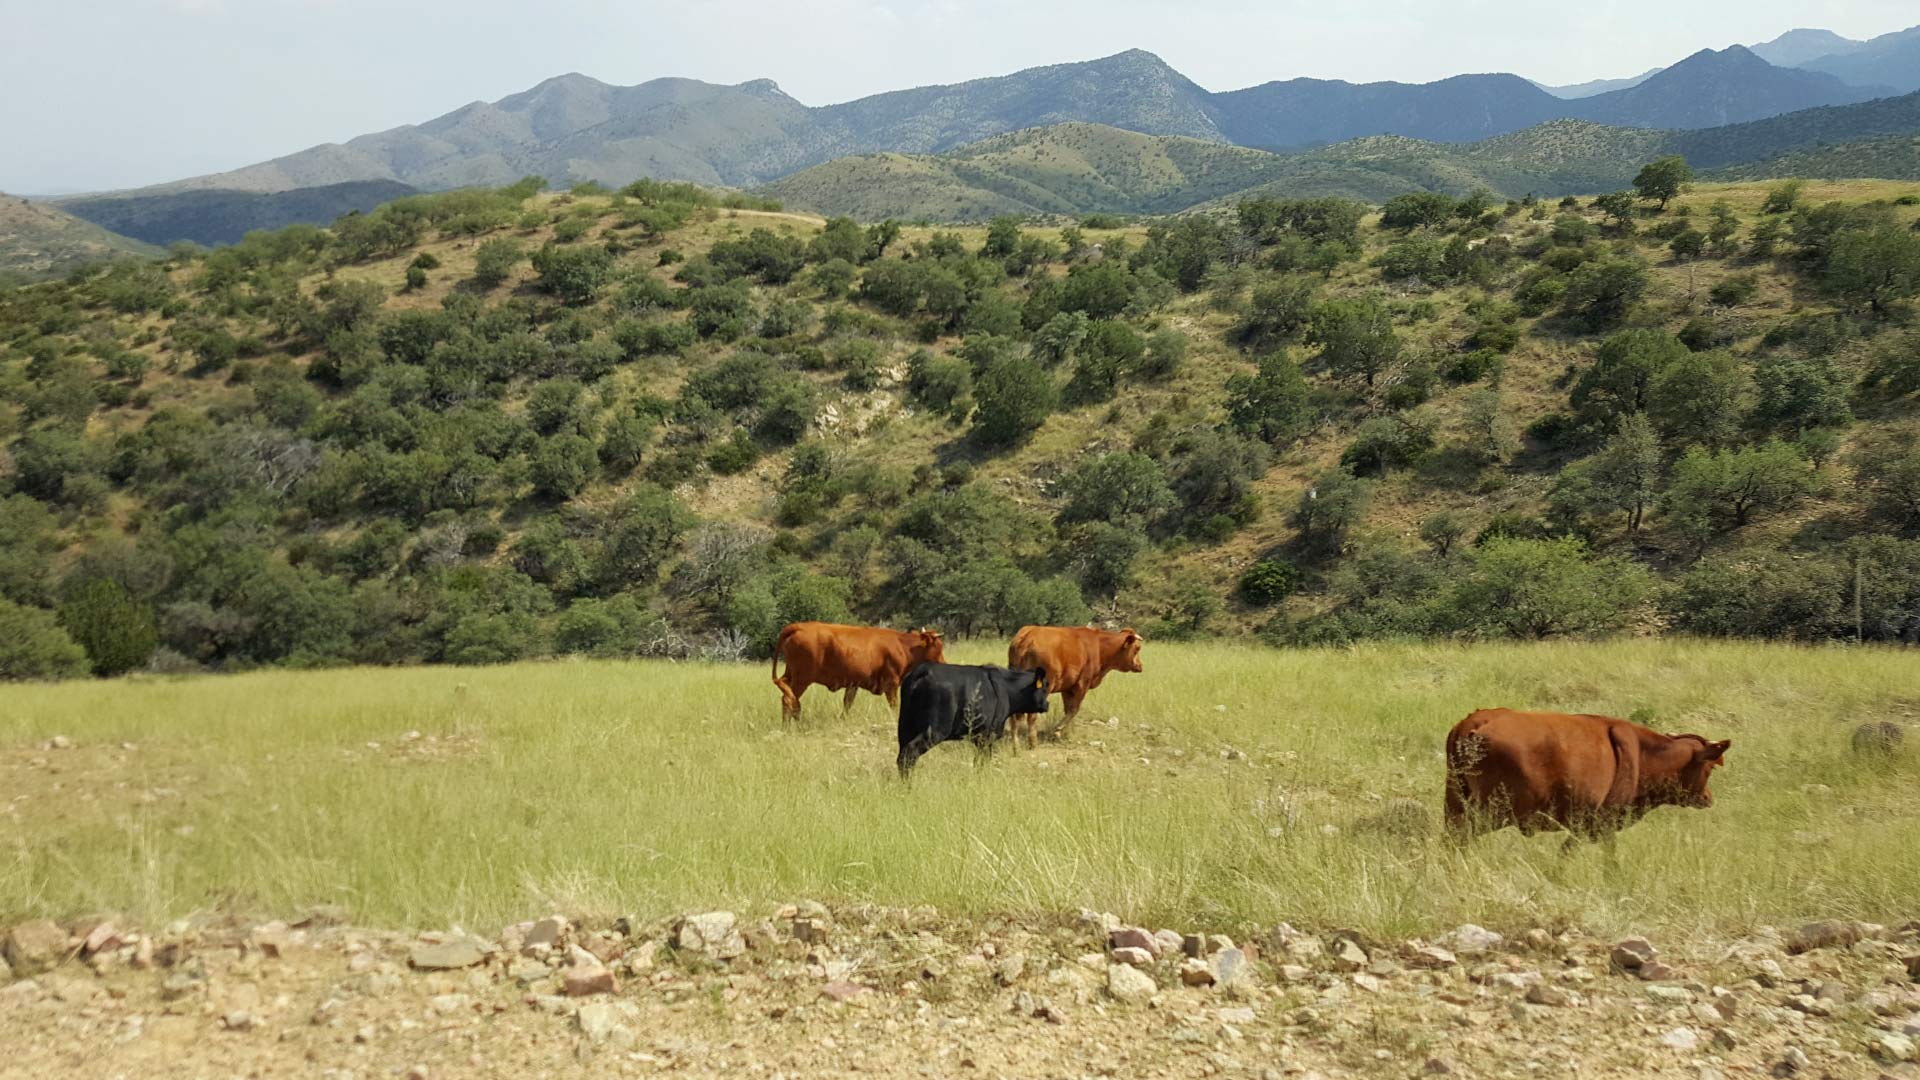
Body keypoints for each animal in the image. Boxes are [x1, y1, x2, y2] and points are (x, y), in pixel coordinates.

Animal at [764, 618, 944, 718]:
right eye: (938, 646)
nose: (944, 663)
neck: (902, 645)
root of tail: (798, 626)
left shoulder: (853, 684)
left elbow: (847, 704)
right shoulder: (891, 684)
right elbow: (894, 706)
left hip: (791, 675)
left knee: (790, 699)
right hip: (802, 679)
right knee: (789, 700)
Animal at [898, 657, 1052, 772]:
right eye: (1045, 686)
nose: (1047, 704)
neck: (1007, 688)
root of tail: (924, 669)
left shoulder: (978, 738)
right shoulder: (987, 736)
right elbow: (982, 763)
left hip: (905, 727)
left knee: (901, 756)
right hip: (935, 731)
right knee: (909, 753)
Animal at [1006, 622, 1136, 749]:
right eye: (1137, 649)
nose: (1139, 665)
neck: (1099, 645)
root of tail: (1028, 635)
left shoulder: (1067, 688)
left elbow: (1068, 709)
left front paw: (1063, 732)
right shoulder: (1082, 684)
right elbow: (1074, 709)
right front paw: (1058, 730)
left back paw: (1016, 744)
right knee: (1031, 715)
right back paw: (1033, 743)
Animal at [1443, 707, 1743, 849]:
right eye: (1709, 769)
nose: (1708, 798)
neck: (1643, 753)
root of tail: (1478, 720)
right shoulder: (1599, 821)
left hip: (1456, 805)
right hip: (1489, 812)